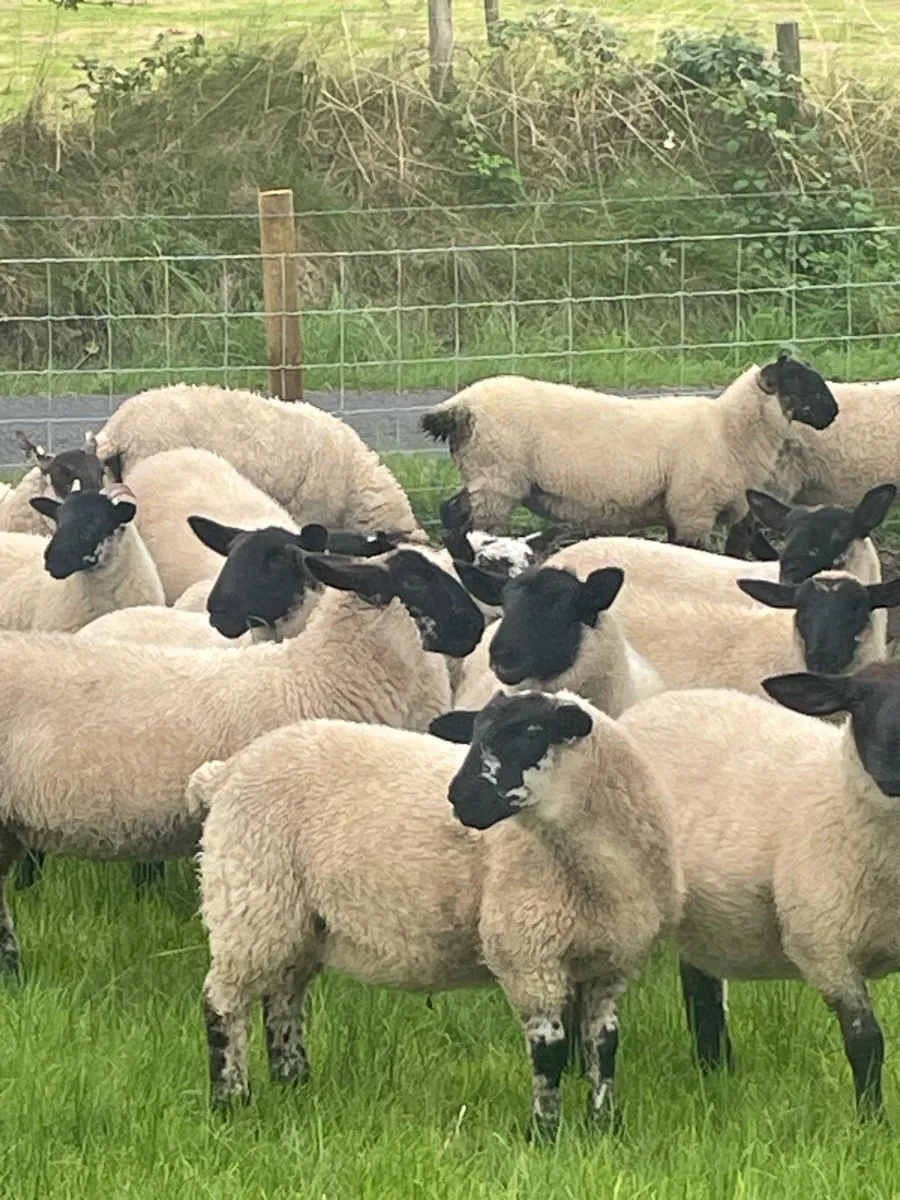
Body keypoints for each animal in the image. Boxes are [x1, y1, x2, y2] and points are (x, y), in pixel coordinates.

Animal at [193, 687, 680, 1136]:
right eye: (476, 733)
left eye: (531, 732)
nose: (459, 798)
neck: (594, 872)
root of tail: (227, 771)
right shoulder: (528, 955)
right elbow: (550, 1050)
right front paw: (546, 1133)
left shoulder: (611, 965)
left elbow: (605, 1045)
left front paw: (606, 1125)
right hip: (251, 897)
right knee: (223, 1002)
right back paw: (231, 1099)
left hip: (300, 920)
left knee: (284, 998)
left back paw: (293, 1081)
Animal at [421, 355, 838, 547]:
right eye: (800, 384)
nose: (833, 413)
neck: (729, 431)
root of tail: (459, 406)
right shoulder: (693, 509)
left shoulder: (709, 511)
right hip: (497, 478)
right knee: (474, 523)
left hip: (485, 476)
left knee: (452, 510)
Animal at [616, 661, 900, 1122]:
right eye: (856, 701)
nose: (890, 769)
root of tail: (652, 705)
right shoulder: (826, 947)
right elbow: (866, 1044)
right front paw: (872, 1122)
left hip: (701, 915)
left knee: (701, 988)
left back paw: (715, 1068)